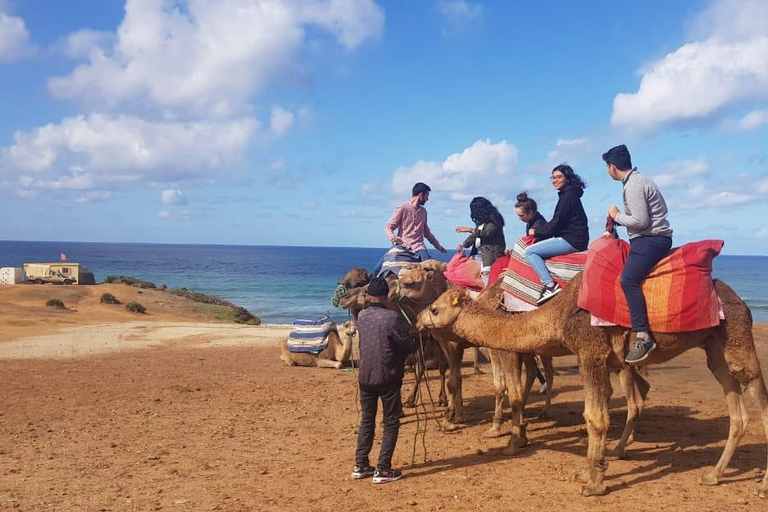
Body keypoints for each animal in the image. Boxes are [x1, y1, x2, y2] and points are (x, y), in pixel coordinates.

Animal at [416, 274, 768, 498]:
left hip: (736, 336)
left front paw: (595, 483)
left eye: (435, 308)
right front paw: (587, 471)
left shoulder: (591, 351)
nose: (418, 320)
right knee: (736, 411)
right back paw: (712, 475)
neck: (557, 314)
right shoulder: (593, 357)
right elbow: (591, 416)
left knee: (756, 393)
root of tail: (742, 302)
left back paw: (761, 486)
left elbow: (595, 418)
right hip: (713, 347)